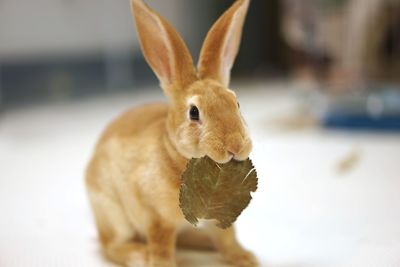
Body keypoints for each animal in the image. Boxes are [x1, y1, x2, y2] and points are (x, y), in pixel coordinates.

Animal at [86, 0, 258, 267]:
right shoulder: (157, 217)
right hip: (113, 214)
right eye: (194, 113)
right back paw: (140, 255)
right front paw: (161, 263)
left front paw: (245, 258)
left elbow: (228, 238)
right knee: (112, 245)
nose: (235, 146)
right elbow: (161, 244)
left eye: (236, 102)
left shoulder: (218, 219)